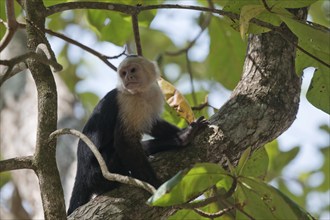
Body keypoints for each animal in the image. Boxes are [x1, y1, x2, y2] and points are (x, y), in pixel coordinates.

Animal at [67, 55, 208, 215]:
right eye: (123, 73)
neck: (141, 93)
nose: (128, 77)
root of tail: (82, 173)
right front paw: (157, 189)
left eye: (132, 70)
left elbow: (153, 124)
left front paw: (182, 134)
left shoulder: (154, 93)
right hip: (97, 174)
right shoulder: (128, 102)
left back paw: (181, 140)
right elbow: (124, 141)